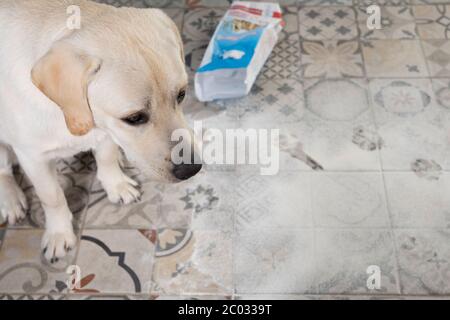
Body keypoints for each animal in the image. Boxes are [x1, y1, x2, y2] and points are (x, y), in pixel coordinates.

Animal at [0, 0, 201, 260]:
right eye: (134, 118)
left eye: (182, 95)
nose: (191, 169)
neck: (67, 113)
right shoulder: (32, 157)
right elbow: (52, 196)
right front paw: (58, 233)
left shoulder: (106, 130)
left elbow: (105, 157)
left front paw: (116, 184)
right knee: (4, 169)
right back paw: (10, 199)